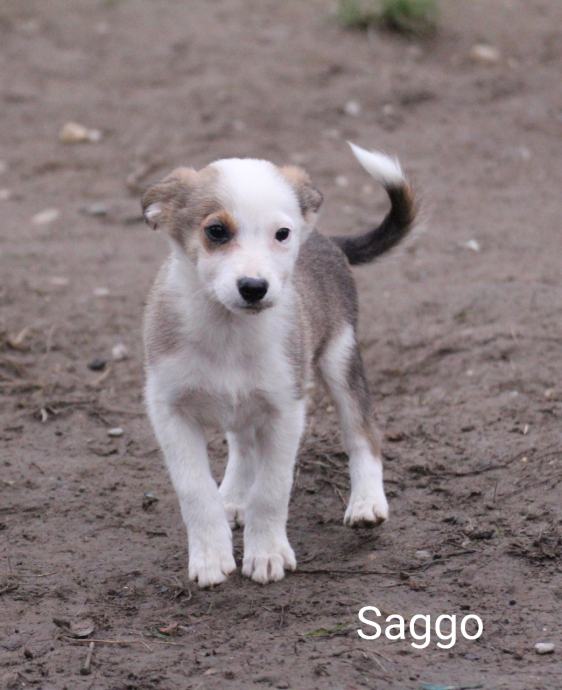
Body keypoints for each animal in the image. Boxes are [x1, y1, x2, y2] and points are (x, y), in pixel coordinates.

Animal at [142, 142, 414, 584]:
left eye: (282, 234)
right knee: (242, 446)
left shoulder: (285, 409)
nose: (254, 288)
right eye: (216, 231)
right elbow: (195, 491)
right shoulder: (170, 410)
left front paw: (267, 553)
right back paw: (233, 497)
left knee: (363, 432)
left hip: (340, 357)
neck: (228, 331)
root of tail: (324, 238)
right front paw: (210, 555)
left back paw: (366, 503)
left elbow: (271, 490)